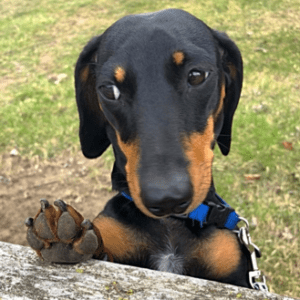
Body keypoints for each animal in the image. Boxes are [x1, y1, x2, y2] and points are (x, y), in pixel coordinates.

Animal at [25, 8, 251, 288]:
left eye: (197, 75)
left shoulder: (234, 269)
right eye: (109, 90)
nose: (166, 199)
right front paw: (62, 232)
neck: (169, 225)